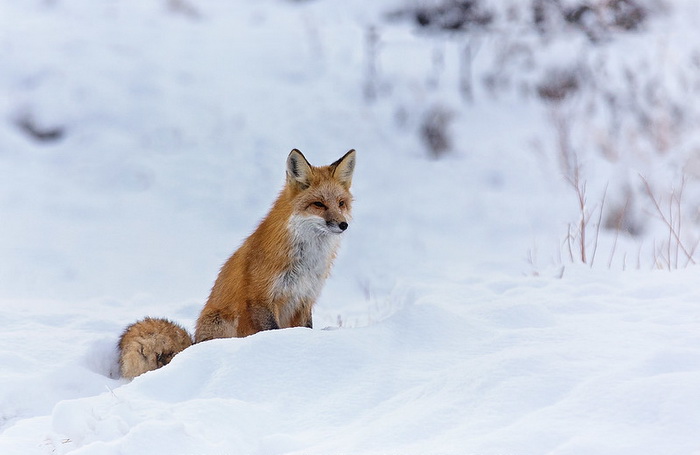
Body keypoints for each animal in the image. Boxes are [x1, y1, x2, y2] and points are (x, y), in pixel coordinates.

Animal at [117, 149, 355, 377]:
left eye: (341, 204)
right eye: (318, 204)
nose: (343, 225)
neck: (306, 261)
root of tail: (193, 344)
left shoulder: (304, 298)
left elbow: (306, 328)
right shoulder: (261, 297)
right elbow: (273, 331)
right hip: (223, 320)